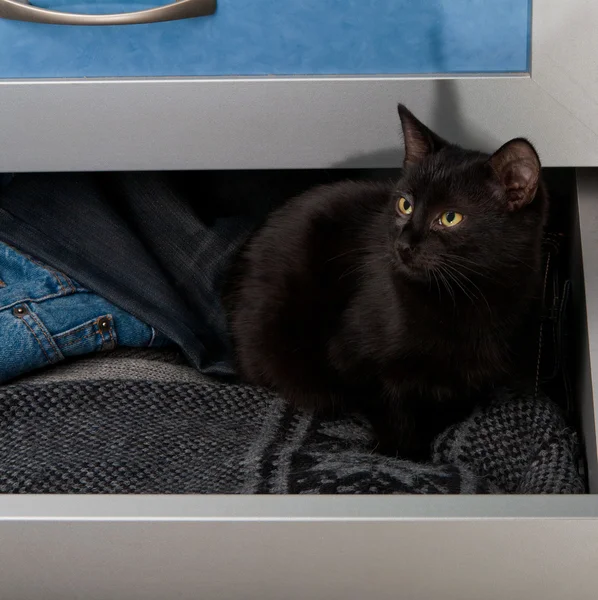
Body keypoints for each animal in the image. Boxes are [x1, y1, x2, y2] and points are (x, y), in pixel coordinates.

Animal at [227, 104, 552, 460]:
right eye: (405, 205)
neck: (463, 297)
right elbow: (392, 409)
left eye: (450, 218)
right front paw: (405, 455)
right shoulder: (354, 358)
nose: (403, 245)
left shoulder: (468, 381)